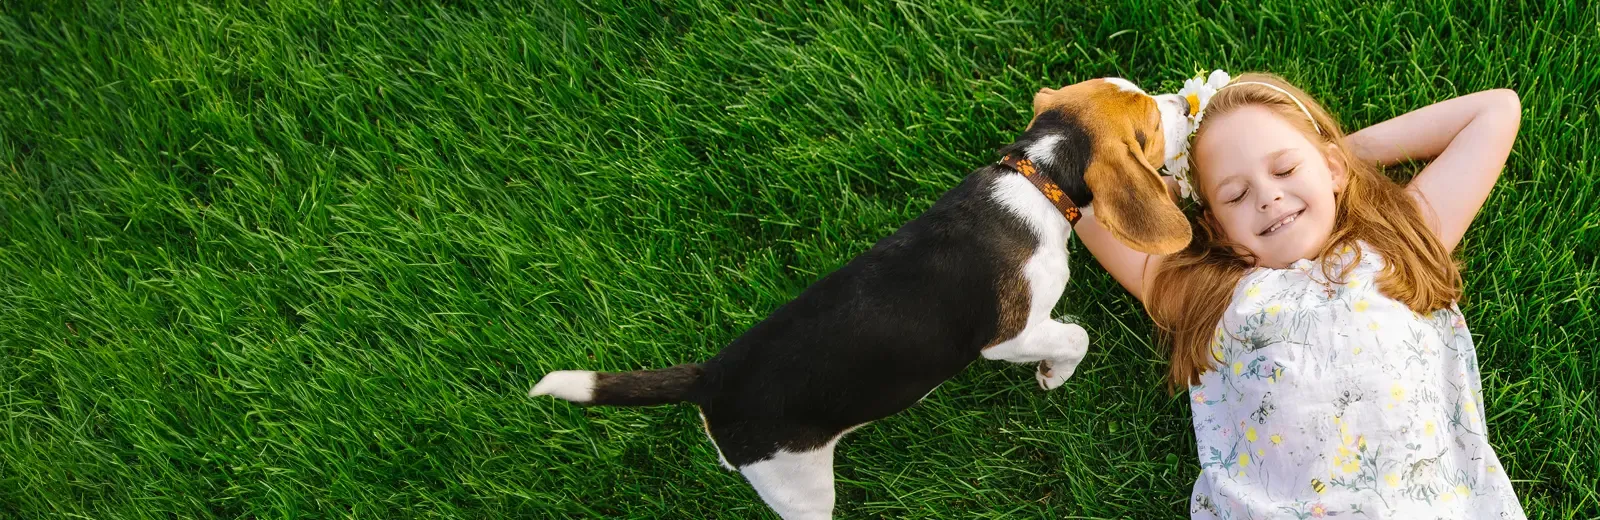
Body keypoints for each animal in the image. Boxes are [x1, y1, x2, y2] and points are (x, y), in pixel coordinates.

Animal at [531, 78, 1196, 518]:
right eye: (1150, 126)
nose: (1182, 102)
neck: (1035, 178)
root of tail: (712, 377)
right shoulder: (1013, 333)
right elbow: (1072, 334)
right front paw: (1054, 376)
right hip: (800, 489)